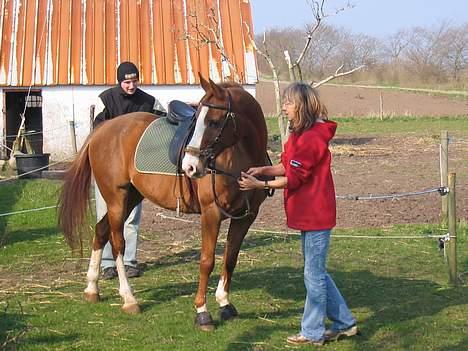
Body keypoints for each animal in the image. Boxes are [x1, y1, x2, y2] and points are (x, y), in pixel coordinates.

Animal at [58, 75, 270, 332]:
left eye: (214, 122)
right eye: (197, 119)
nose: (190, 166)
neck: (238, 157)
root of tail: (103, 129)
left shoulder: (246, 216)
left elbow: (230, 259)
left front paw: (225, 303)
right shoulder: (211, 214)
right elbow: (207, 261)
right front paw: (202, 312)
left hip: (131, 197)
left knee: (100, 231)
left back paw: (92, 288)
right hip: (116, 198)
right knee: (117, 243)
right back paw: (129, 299)